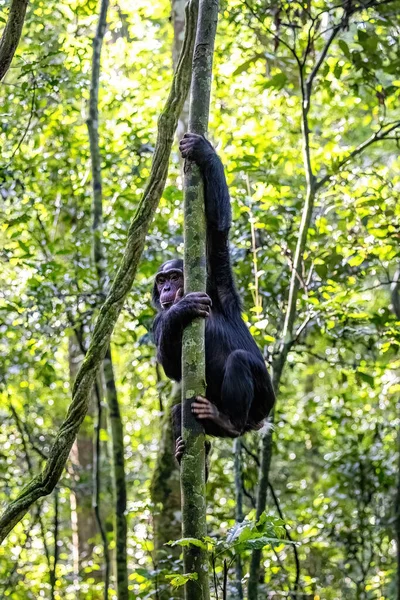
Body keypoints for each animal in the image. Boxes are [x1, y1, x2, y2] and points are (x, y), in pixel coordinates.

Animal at [153, 134, 276, 462]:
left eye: (174, 277)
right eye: (161, 280)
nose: (167, 290)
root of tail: (257, 424)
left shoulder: (221, 290)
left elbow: (218, 229)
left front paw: (204, 151)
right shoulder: (157, 323)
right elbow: (171, 366)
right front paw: (182, 308)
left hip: (264, 402)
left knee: (240, 360)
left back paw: (228, 422)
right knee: (180, 410)